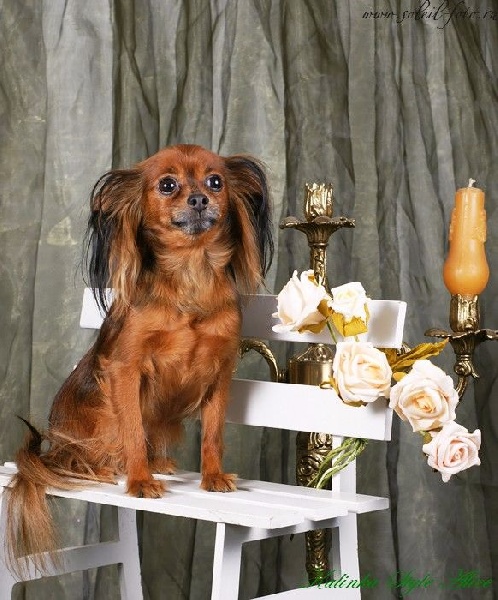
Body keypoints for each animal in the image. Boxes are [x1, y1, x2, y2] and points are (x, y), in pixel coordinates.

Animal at [5, 143, 273, 573]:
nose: (200, 199)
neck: (190, 273)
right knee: (80, 454)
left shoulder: (220, 374)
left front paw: (212, 475)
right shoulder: (126, 371)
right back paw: (98, 465)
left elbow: (213, 433)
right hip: (94, 418)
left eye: (216, 181)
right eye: (167, 185)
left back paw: (157, 460)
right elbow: (131, 429)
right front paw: (139, 480)